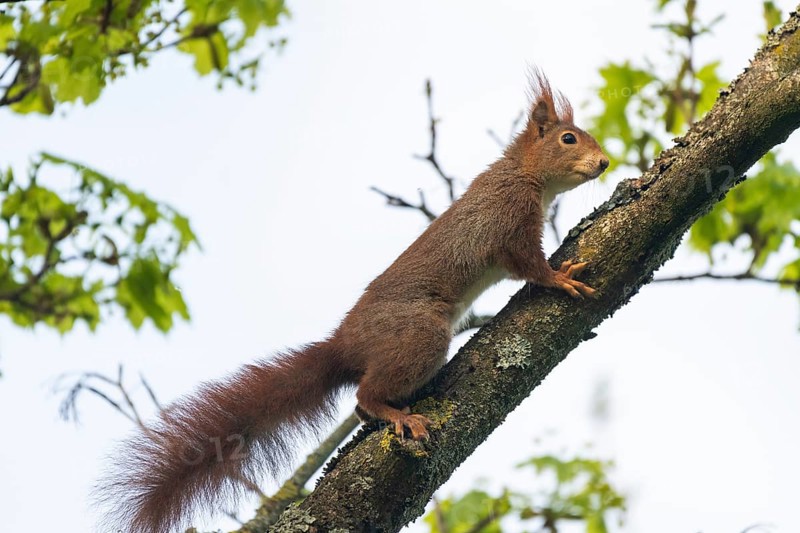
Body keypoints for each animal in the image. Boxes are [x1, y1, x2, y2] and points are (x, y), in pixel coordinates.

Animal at [97, 70, 609, 533]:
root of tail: (344, 346)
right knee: (364, 397)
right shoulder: (509, 222)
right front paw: (560, 278)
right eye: (568, 138)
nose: (604, 163)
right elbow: (529, 265)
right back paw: (397, 414)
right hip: (419, 332)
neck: (523, 174)